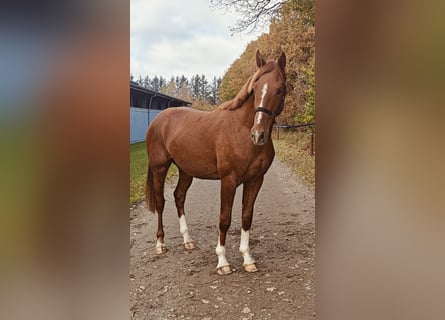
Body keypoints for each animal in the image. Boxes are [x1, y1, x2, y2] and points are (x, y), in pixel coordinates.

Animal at [144, 50, 286, 276]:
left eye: (279, 89)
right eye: (255, 88)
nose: (258, 135)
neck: (241, 130)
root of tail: (158, 120)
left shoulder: (256, 180)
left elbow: (246, 217)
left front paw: (247, 259)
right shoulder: (228, 180)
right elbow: (224, 219)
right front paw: (222, 262)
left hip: (186, 170)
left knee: (179, 197)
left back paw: (187, 241)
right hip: (160, 168)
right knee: (160, 202)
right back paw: (160, 244)